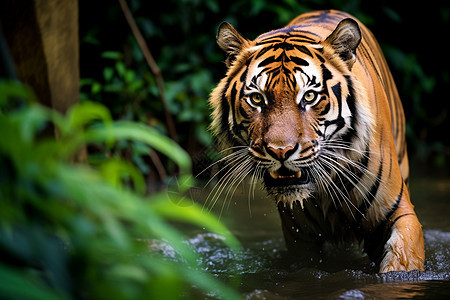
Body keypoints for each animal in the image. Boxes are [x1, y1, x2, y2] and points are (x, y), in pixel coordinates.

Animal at [208, 9, 426, 274]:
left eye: (309, 96)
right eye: (257, 99)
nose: (280, 151)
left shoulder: (397, 211)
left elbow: (402, 259)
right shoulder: (300, 237)